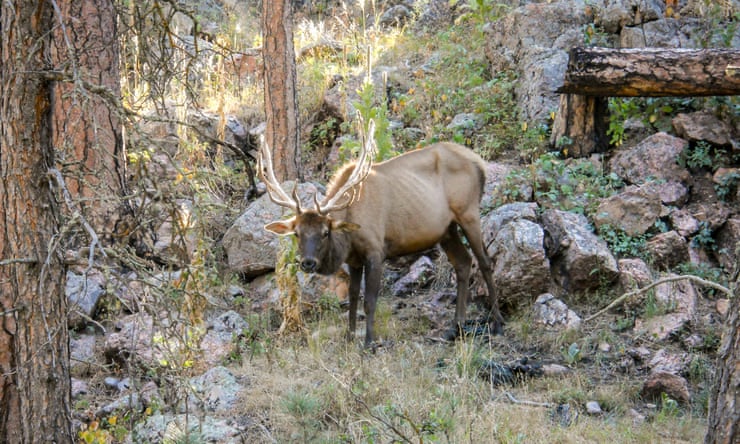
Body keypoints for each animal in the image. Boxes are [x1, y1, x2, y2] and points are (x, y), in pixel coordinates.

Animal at [258, 120, 504, 347]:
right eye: (297, 233)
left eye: (325, 232)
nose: (308, 263)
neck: (349, 235)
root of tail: (479, 163)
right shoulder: (354, 260)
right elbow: (353, 297)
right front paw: (349, 338)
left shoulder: (375, 250)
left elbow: (370, 300)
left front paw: (369, 342)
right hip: (447, 229)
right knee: (463, 262)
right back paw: (456, 327)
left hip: (469, 212)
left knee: (484, 261)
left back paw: (497, 323)